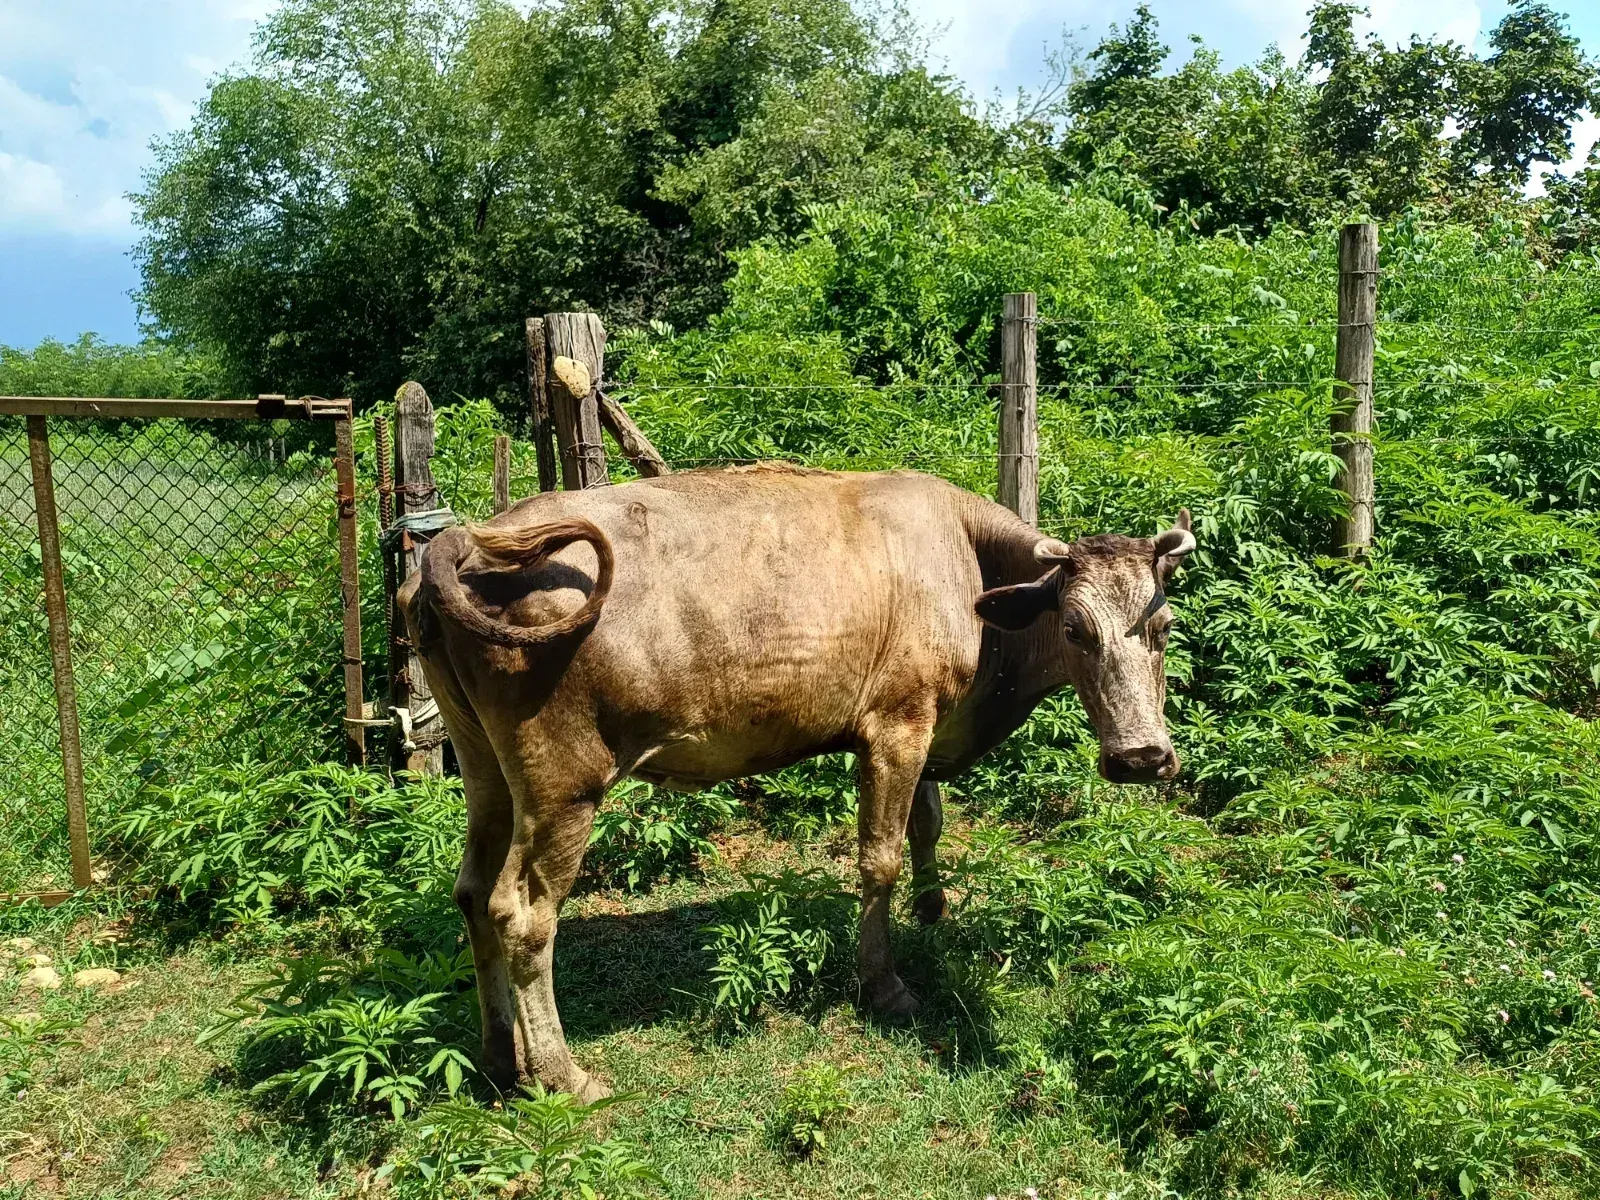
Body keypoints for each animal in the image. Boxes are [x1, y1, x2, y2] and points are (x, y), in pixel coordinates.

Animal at [399, 464, 1195, 1099]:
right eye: (1075, 630)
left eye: (1163, 629)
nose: (1142, 758)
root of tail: (465, 538)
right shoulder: (896, 723)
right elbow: (880, 857)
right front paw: (884, 984)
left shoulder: (924, 720)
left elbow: (928, 822)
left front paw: (934, 909)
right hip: (564, 780)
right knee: (522, 914)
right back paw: (561, 1074)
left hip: (483, 763)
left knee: (471, 892)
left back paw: (500, 1053)